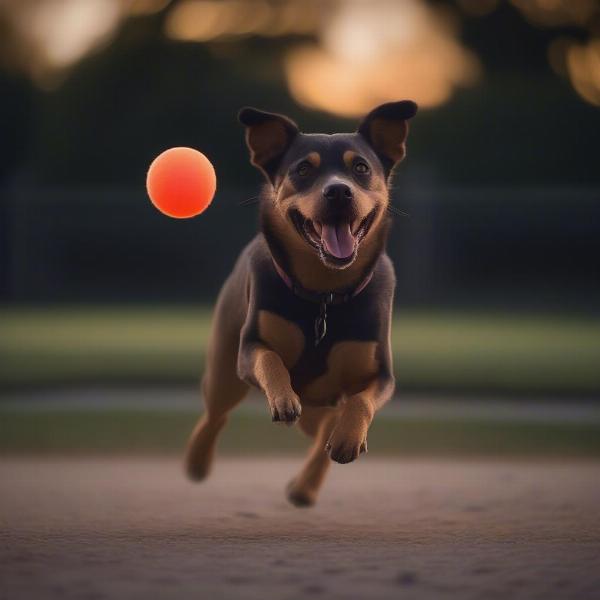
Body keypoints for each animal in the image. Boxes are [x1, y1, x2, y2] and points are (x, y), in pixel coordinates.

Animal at [185, 99, 414, 506]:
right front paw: (283, 399)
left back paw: (306, 485)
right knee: (216, 412)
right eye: (304, 169)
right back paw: (197, 463)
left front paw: (347, 438)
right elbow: (269, 359)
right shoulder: (251, 346)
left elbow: (360, 402)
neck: (324, 292)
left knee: (322, 427)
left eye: (361, 168)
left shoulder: (379, 373)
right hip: (224, 365)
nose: (338, 192)